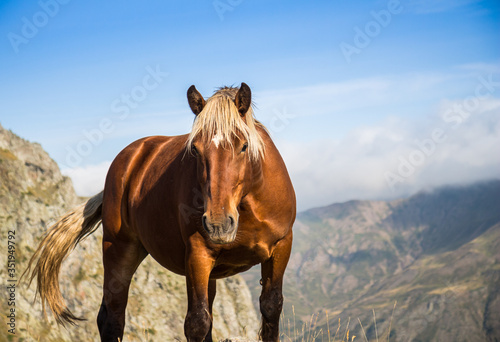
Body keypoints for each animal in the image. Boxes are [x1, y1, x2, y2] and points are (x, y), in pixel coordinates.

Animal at [24, 83, 296, 342]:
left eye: (244, 146)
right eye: (195, 149)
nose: (218, 224)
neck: (249, 205)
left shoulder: (281, 247)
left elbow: (270, 307)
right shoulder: (197, 254)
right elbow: (197, 323)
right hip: (119, 250)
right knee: (112, 318)